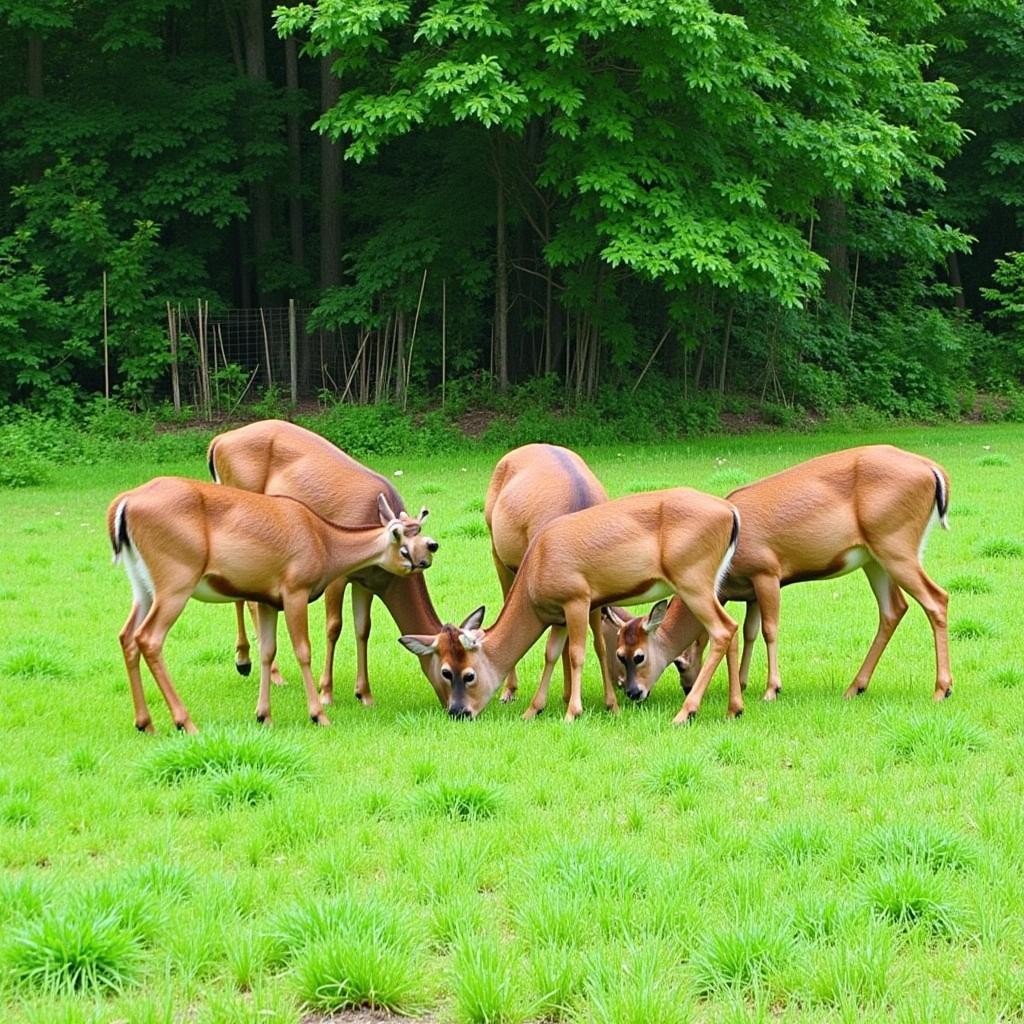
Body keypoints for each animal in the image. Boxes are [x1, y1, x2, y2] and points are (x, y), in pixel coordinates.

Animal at [108, 475, 436, 733]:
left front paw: (263, 715)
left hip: (143, 586)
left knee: (126, 635)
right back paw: (185, 722)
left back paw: (145, 722)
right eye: (405, 548)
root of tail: (122, 506)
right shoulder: (294, 590)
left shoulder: (267, 600)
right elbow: (303, 650)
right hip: (175, 582)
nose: (426, 558)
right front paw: (318, 714)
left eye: (423, 537)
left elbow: (267, 651)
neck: (324, 543)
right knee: (148, 638)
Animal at [207, 419, 444, 708]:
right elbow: (334, 626)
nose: (462, 710)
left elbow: (363, 628)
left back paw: (246, 660)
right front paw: (326, 691)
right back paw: (263, 669)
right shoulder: (338, 576)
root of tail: (218, 441)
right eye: (455, 670)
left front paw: (364, 693)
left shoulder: (366, 581)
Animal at [395, 485, 741, 720]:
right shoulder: (557, 613)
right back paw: (734, 708)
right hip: (712, 582)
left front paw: (572, 712)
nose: (458, 711)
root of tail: (730, 513)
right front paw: (532, 710)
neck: (535, 571)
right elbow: (550, 654)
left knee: (722, 629)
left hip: (692, 578)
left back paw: (686, 712)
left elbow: (576, 653)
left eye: (465, 674)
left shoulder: (577, 598)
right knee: (732, 628)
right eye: (444, 669)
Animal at [606, 444, 950, 708]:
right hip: (874, 557)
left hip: (896, 543)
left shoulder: (767, 571)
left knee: (937, 598)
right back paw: (855, 686)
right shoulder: (750, 591)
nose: (634, 693)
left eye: (638, 656)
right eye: (619, 653)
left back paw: (942, 688)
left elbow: (770, 630)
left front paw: (771, 689)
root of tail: (934, 470)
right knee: (894, 608)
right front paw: (742, 681)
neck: (724, 576)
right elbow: (749, 631)